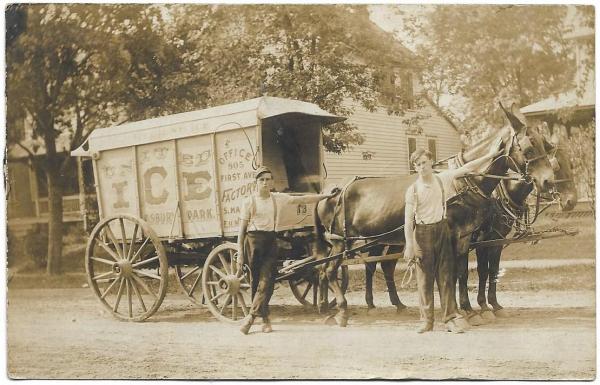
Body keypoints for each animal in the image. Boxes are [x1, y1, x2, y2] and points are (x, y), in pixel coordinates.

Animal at [316, 103, 556, 326]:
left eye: (546, 145)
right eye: (528, 148)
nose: (548, 181)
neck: (463, 182)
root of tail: (331, 191)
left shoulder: (471, 237)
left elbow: (468, 271)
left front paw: (474, 309)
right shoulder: (471, 237)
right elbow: (461, 272)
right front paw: (469, 308)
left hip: (381, 240)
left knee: (372, 266)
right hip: (340, 241)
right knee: (330, 270)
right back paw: (342, 311)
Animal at [476, 129, 580, 316]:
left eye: (571, 164)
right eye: (557, 166)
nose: (571, 201)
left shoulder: (497, 240)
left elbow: (493, 270)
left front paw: (494, 304)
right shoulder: (481, 241)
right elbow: (481, 271)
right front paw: (482, 305)